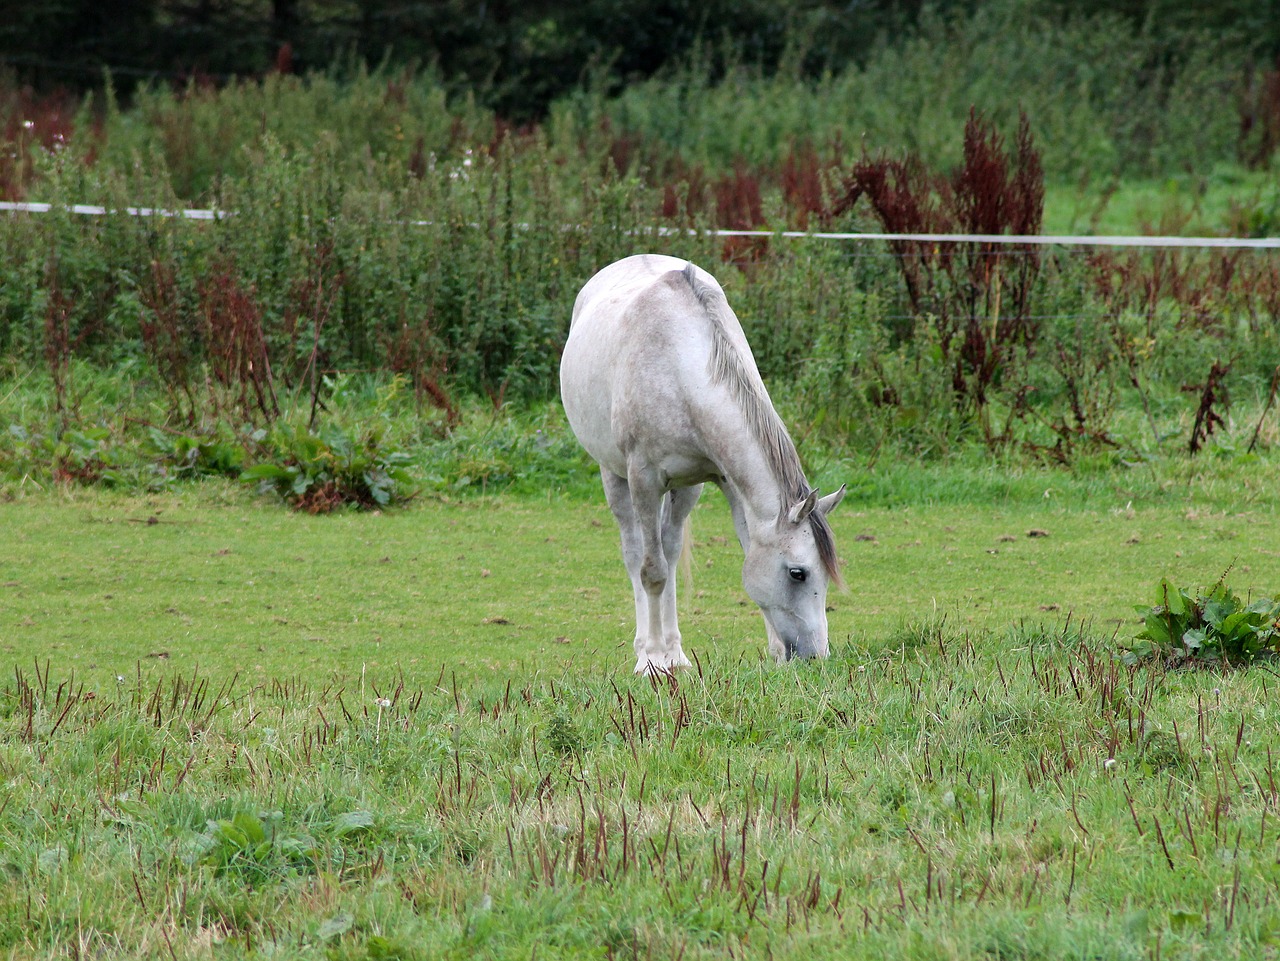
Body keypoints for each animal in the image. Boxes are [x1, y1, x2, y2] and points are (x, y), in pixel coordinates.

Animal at [558, 255, 839, 675]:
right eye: (797, 573)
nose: (816, 656)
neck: (679, 364)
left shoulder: (726, 481)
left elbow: (736, 553)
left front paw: (773, 652)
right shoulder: (644, 480)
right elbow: (651, 572)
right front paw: (652, 661)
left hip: (686, 488)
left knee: (671, 552)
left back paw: (675, 652)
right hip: (615, 476)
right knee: (636, 555)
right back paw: (648, 650)